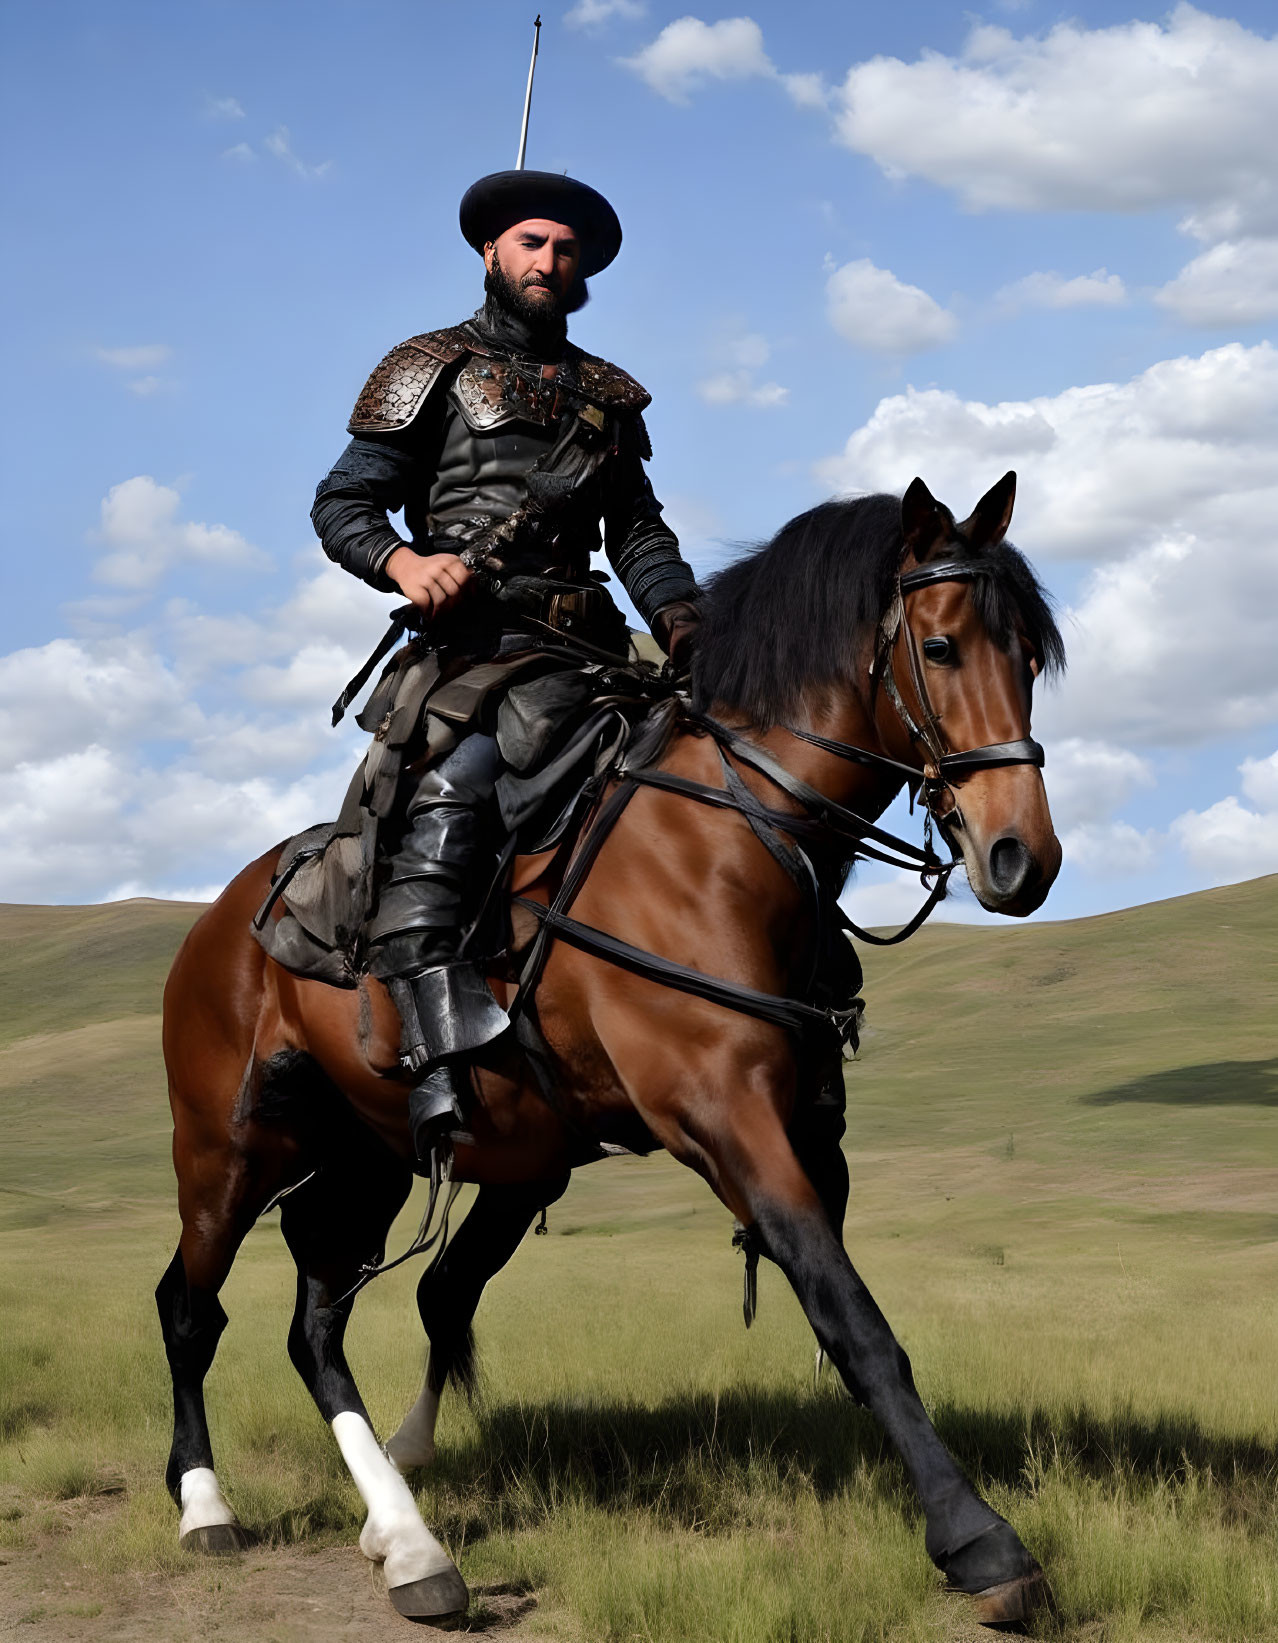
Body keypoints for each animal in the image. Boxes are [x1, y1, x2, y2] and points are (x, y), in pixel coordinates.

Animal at [154, 476, 1057, 1629]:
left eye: (1028, 656)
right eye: (940, 648)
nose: (1021, 856)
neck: (731, 839)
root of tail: (221, 921)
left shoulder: (811, 1128)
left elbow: (837, 1315)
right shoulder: (723, 1112)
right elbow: (857, 1321)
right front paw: (980, 1540)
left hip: (372, 1160)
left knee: (319, 1327)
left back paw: (409, 1543)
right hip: (229, 1151)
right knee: (194, 1310)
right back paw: (207, 1506)